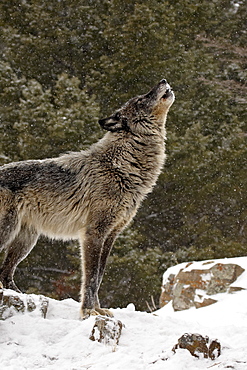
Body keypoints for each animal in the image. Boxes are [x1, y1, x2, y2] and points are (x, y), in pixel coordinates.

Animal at [0, 80, 175, 318]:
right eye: (141, 99)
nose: (163, 81)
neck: (120, 167)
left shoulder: (111, 235)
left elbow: (99, 276)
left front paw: (99, 309)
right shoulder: (93, 233)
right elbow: (90, 278)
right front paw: (89, 312)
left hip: (26, 240)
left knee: (5, 274)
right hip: (9, 231)